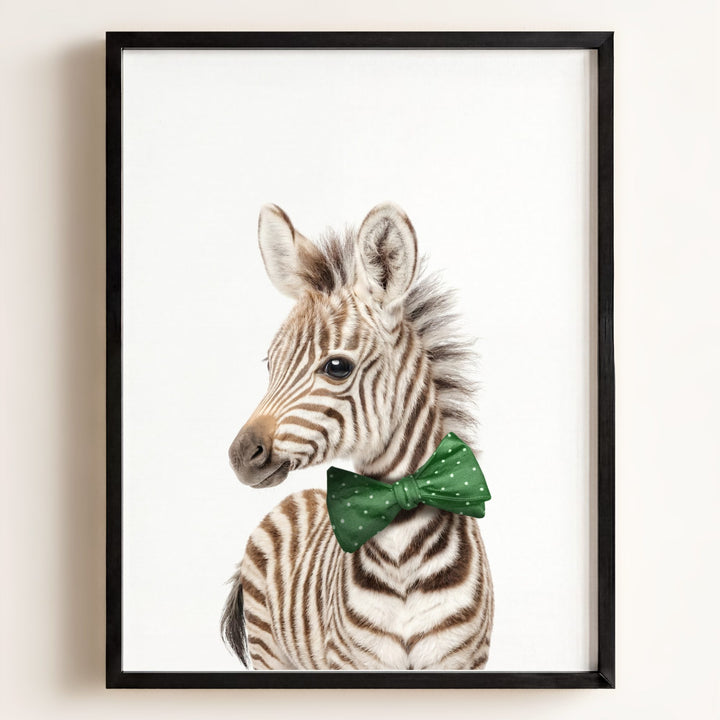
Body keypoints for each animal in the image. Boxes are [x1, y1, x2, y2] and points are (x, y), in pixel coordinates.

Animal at [221, 202, 493, 670]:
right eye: (270, 364)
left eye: (337, 367)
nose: (241, 455)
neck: (402, 551)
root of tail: (297, 498)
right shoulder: (353, 661)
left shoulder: (461, 660)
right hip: (269, 650)